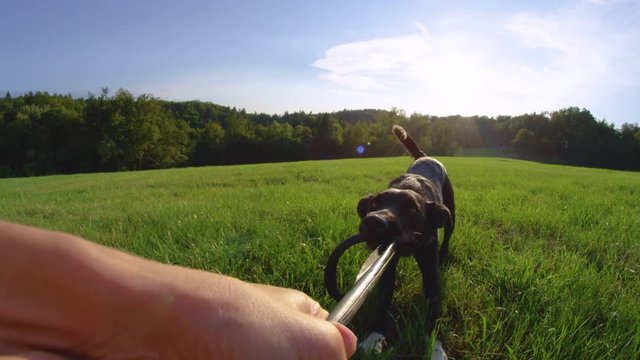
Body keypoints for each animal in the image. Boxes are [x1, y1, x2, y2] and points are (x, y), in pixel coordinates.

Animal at [330, 125, 456, 352]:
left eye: (412, 209)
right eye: (373, 205)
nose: (374, 222)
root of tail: (425, 157)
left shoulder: (430, 271)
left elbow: (433, 310)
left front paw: (435, 347)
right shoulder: (385, 267)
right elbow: (383, 300)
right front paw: (375, 335)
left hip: (452, 212)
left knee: (448, 234)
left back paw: (445, 254)